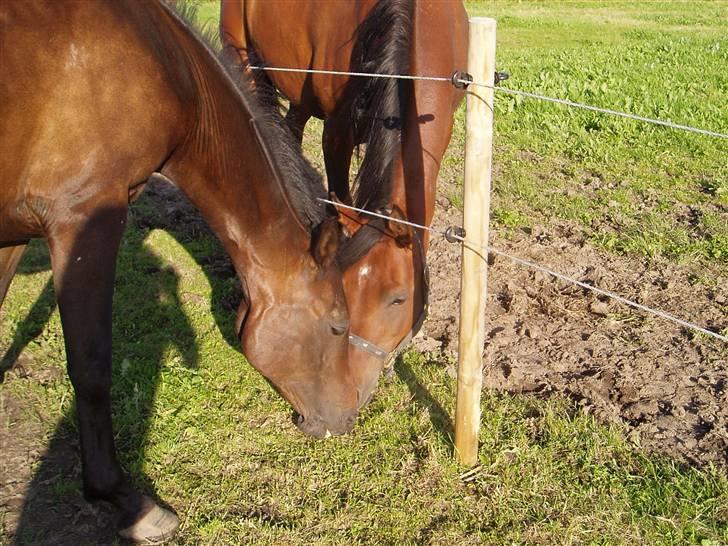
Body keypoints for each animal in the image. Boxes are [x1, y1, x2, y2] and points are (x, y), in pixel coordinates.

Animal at [2, 0, 382, 536]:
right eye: (337, 325)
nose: (348, 416)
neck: (168, 68)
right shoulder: (84, 218)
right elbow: (91, 367)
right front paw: (125, 499)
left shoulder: (14, 230)